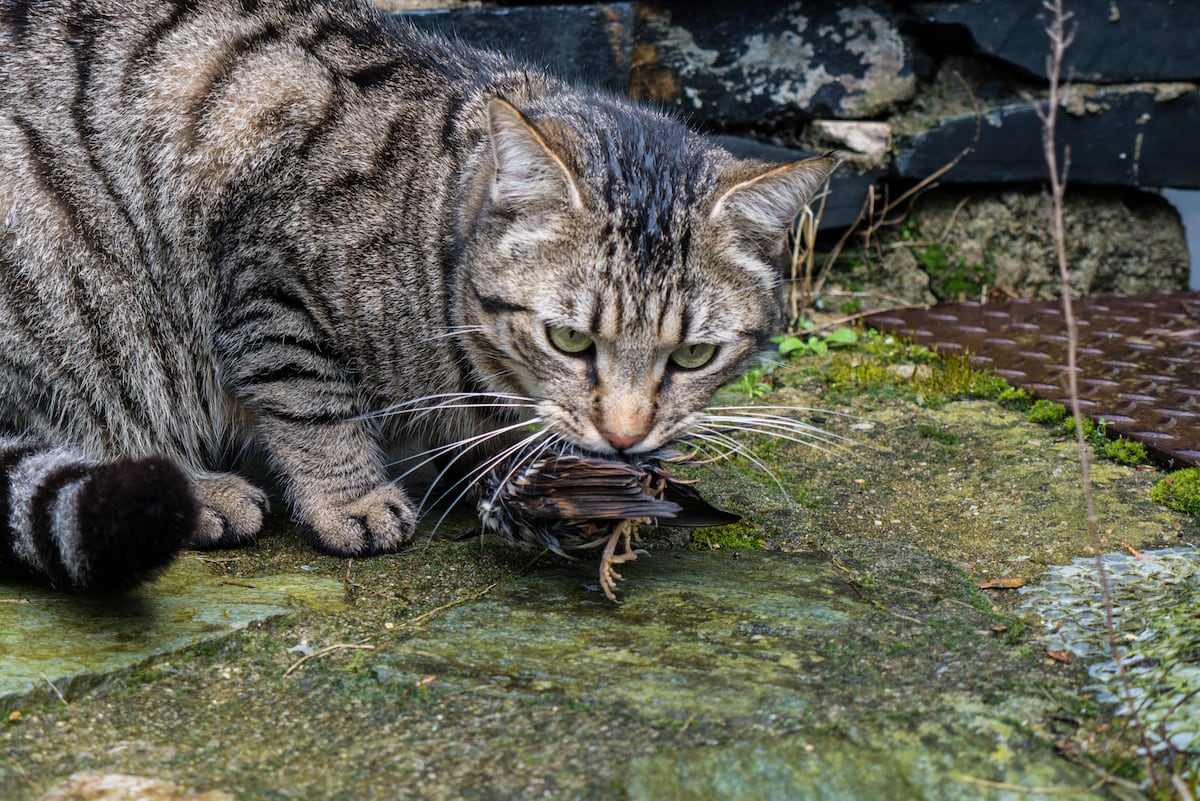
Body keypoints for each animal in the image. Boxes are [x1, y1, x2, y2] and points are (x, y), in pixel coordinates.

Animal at [0, 0, 840, 587]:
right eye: (569, 338)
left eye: (695, 355)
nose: (627, 437)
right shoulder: (270, 278)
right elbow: (313, 404)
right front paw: (350, 498)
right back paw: (197, 491)